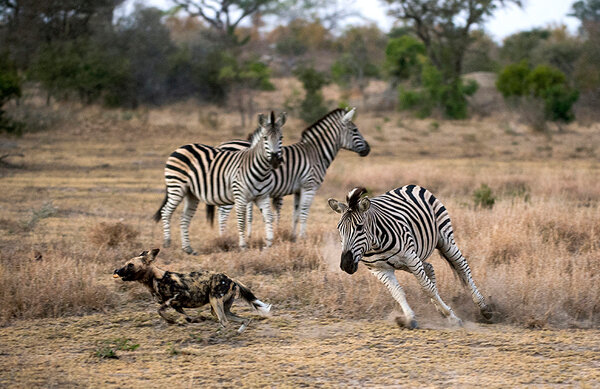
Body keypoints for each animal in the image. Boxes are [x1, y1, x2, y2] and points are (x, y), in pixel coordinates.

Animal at [113, 247, 272, 332]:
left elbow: (160, 310)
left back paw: (219, 334)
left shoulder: (178, 296)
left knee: (224, 321)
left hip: (215, 301)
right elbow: (185, 317)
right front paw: (194, 320)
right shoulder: (177, 306)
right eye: (125, 264)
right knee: (244, 319)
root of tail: (231, 278)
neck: (155, 279)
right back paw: (238, 331)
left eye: (130, 265)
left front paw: (171, 321)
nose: (117, 270)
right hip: (219, 307)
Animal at [154, 111, 288, 252]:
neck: (261, 171)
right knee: (166, 212)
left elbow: (269, 217)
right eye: (265, 138)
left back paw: (188, 248)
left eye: (281, 137)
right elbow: (242, 221)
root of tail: (180, 148)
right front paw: (243, 246)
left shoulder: (262, 197)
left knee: (184, 217)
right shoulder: (240, 197)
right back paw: (167, 242)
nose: (275, 161)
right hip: (176, 187)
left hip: (191, 193)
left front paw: (269, 243)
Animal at [216, 107, 370, 238]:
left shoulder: (298, 189)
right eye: (355, 130)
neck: (316, 152)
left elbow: (296, 213)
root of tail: (221, 145)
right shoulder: (309, 186)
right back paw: (223, 239)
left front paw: (293, 236)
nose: (368, 148)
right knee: (223, 214)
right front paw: (302, 236)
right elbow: (304, 211)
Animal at [328, 185, 492, 328]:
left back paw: (484, 308)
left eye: (360, 228)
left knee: (462, 267)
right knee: (430, 267)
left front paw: (452, 317)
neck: (375, 244)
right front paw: (409, 318)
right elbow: (397, 293)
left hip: (444, 238)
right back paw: (440, 307)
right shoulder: (379, 270)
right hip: (409, 261)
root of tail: (409, 186)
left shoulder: (410, 257)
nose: (346, 264)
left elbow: (428, 288)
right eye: (339, 229)